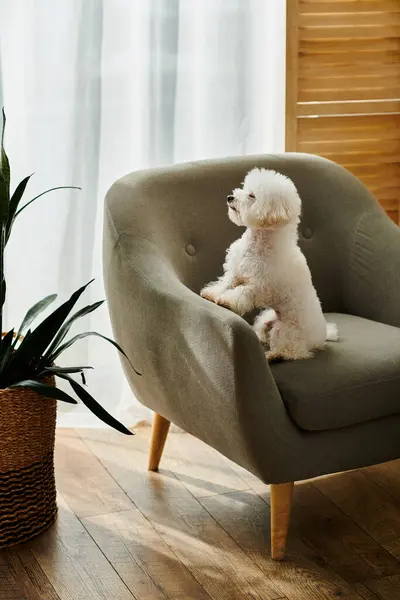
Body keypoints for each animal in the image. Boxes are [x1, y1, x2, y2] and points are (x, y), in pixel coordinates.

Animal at [200, 166, 338, 358]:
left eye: (252, 196)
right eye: (244, 188)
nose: (230, 197)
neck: (258, 242)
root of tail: (321, 337)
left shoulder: (260, 285)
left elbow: (242, 291)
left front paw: (227, 301)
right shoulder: (235, 270)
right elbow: (225, 282)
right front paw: (211, 293)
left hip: (286, 330)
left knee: (291, 351)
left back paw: (272, 355)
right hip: (266, 319)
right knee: (264, 332)